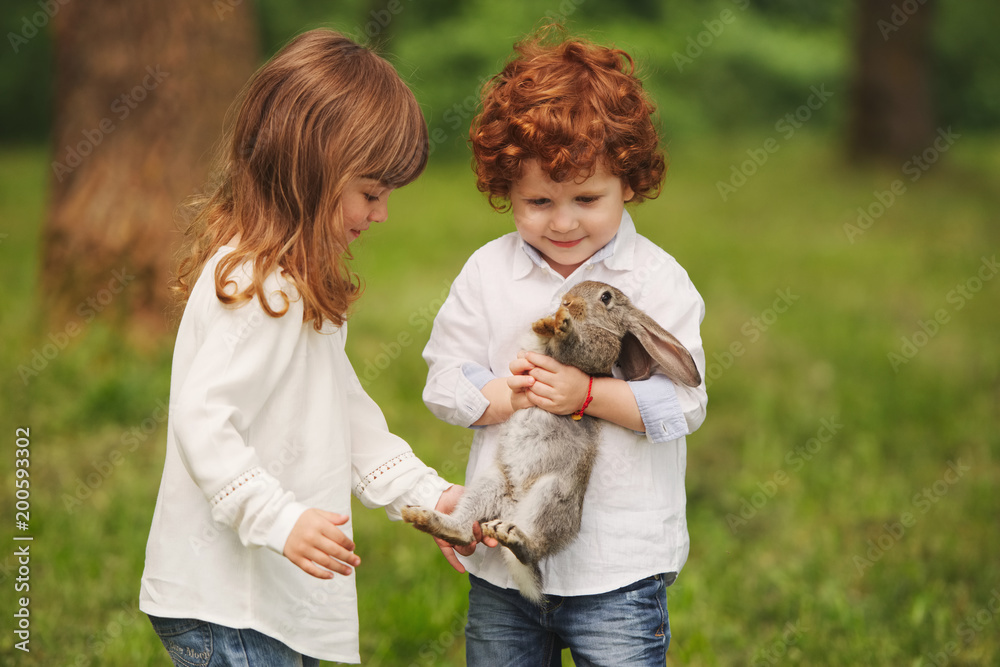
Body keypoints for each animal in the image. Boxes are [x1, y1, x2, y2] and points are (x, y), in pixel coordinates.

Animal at [400, 280, 704, 604]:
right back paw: (423, 517)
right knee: (466, 532)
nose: (566, 301)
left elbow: (576, 346)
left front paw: (561, 326)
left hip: (552, 494)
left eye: (606, 297)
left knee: (530, 547)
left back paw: (511, 536)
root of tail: (512, 509)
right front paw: (546, 322)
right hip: (490, 485)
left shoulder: (597, 350)